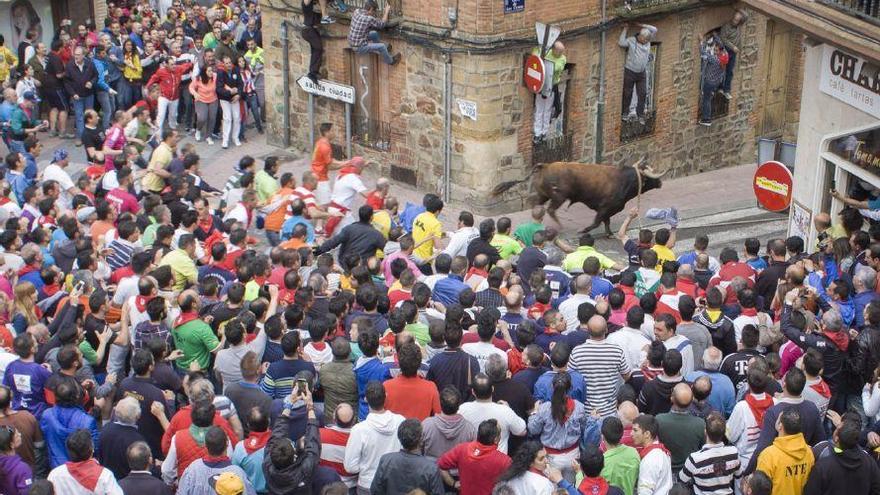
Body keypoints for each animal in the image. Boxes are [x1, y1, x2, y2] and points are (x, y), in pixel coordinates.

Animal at [488, 160, 668, 235]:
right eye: (650, 176)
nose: (660, 182)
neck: (623, 180)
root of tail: (545, 165)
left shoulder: (608, 210)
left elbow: (606, 222)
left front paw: (609, 233)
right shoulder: (605, 208)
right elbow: (597, 222)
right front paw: (583, 230)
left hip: (544, 194)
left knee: (536, 204)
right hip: (558, 197)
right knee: (550, 209)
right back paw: (559, 226)